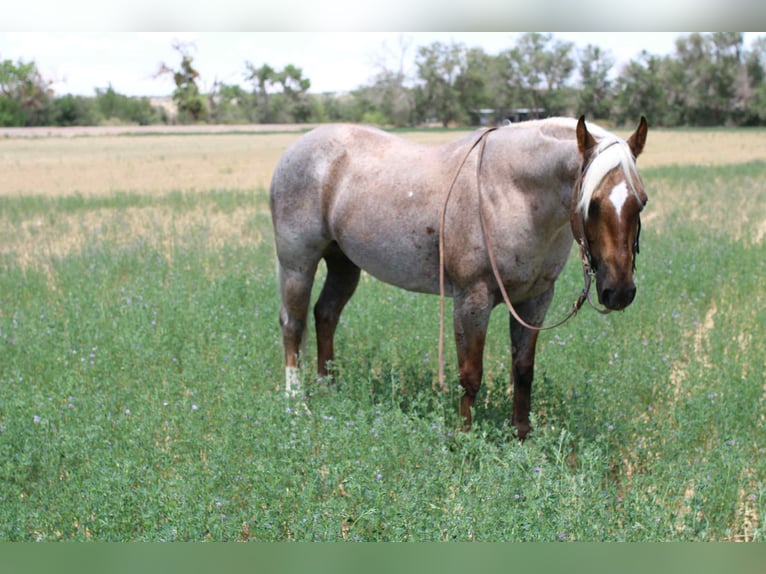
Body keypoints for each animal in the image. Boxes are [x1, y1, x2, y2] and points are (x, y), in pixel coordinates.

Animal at [270, 116, 648, 439]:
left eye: (641, 202)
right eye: (592, 204)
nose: (619, 292)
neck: (510, 192)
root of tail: (295, 150)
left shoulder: (535, 300)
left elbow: (523, 370)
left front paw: (521, 436)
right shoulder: (471, 299)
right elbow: (470, 375)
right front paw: (463, 440)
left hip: (343, 264)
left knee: (326, 314)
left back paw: (327, 387)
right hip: (297, 265)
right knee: (293, 325)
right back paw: (295, 404)